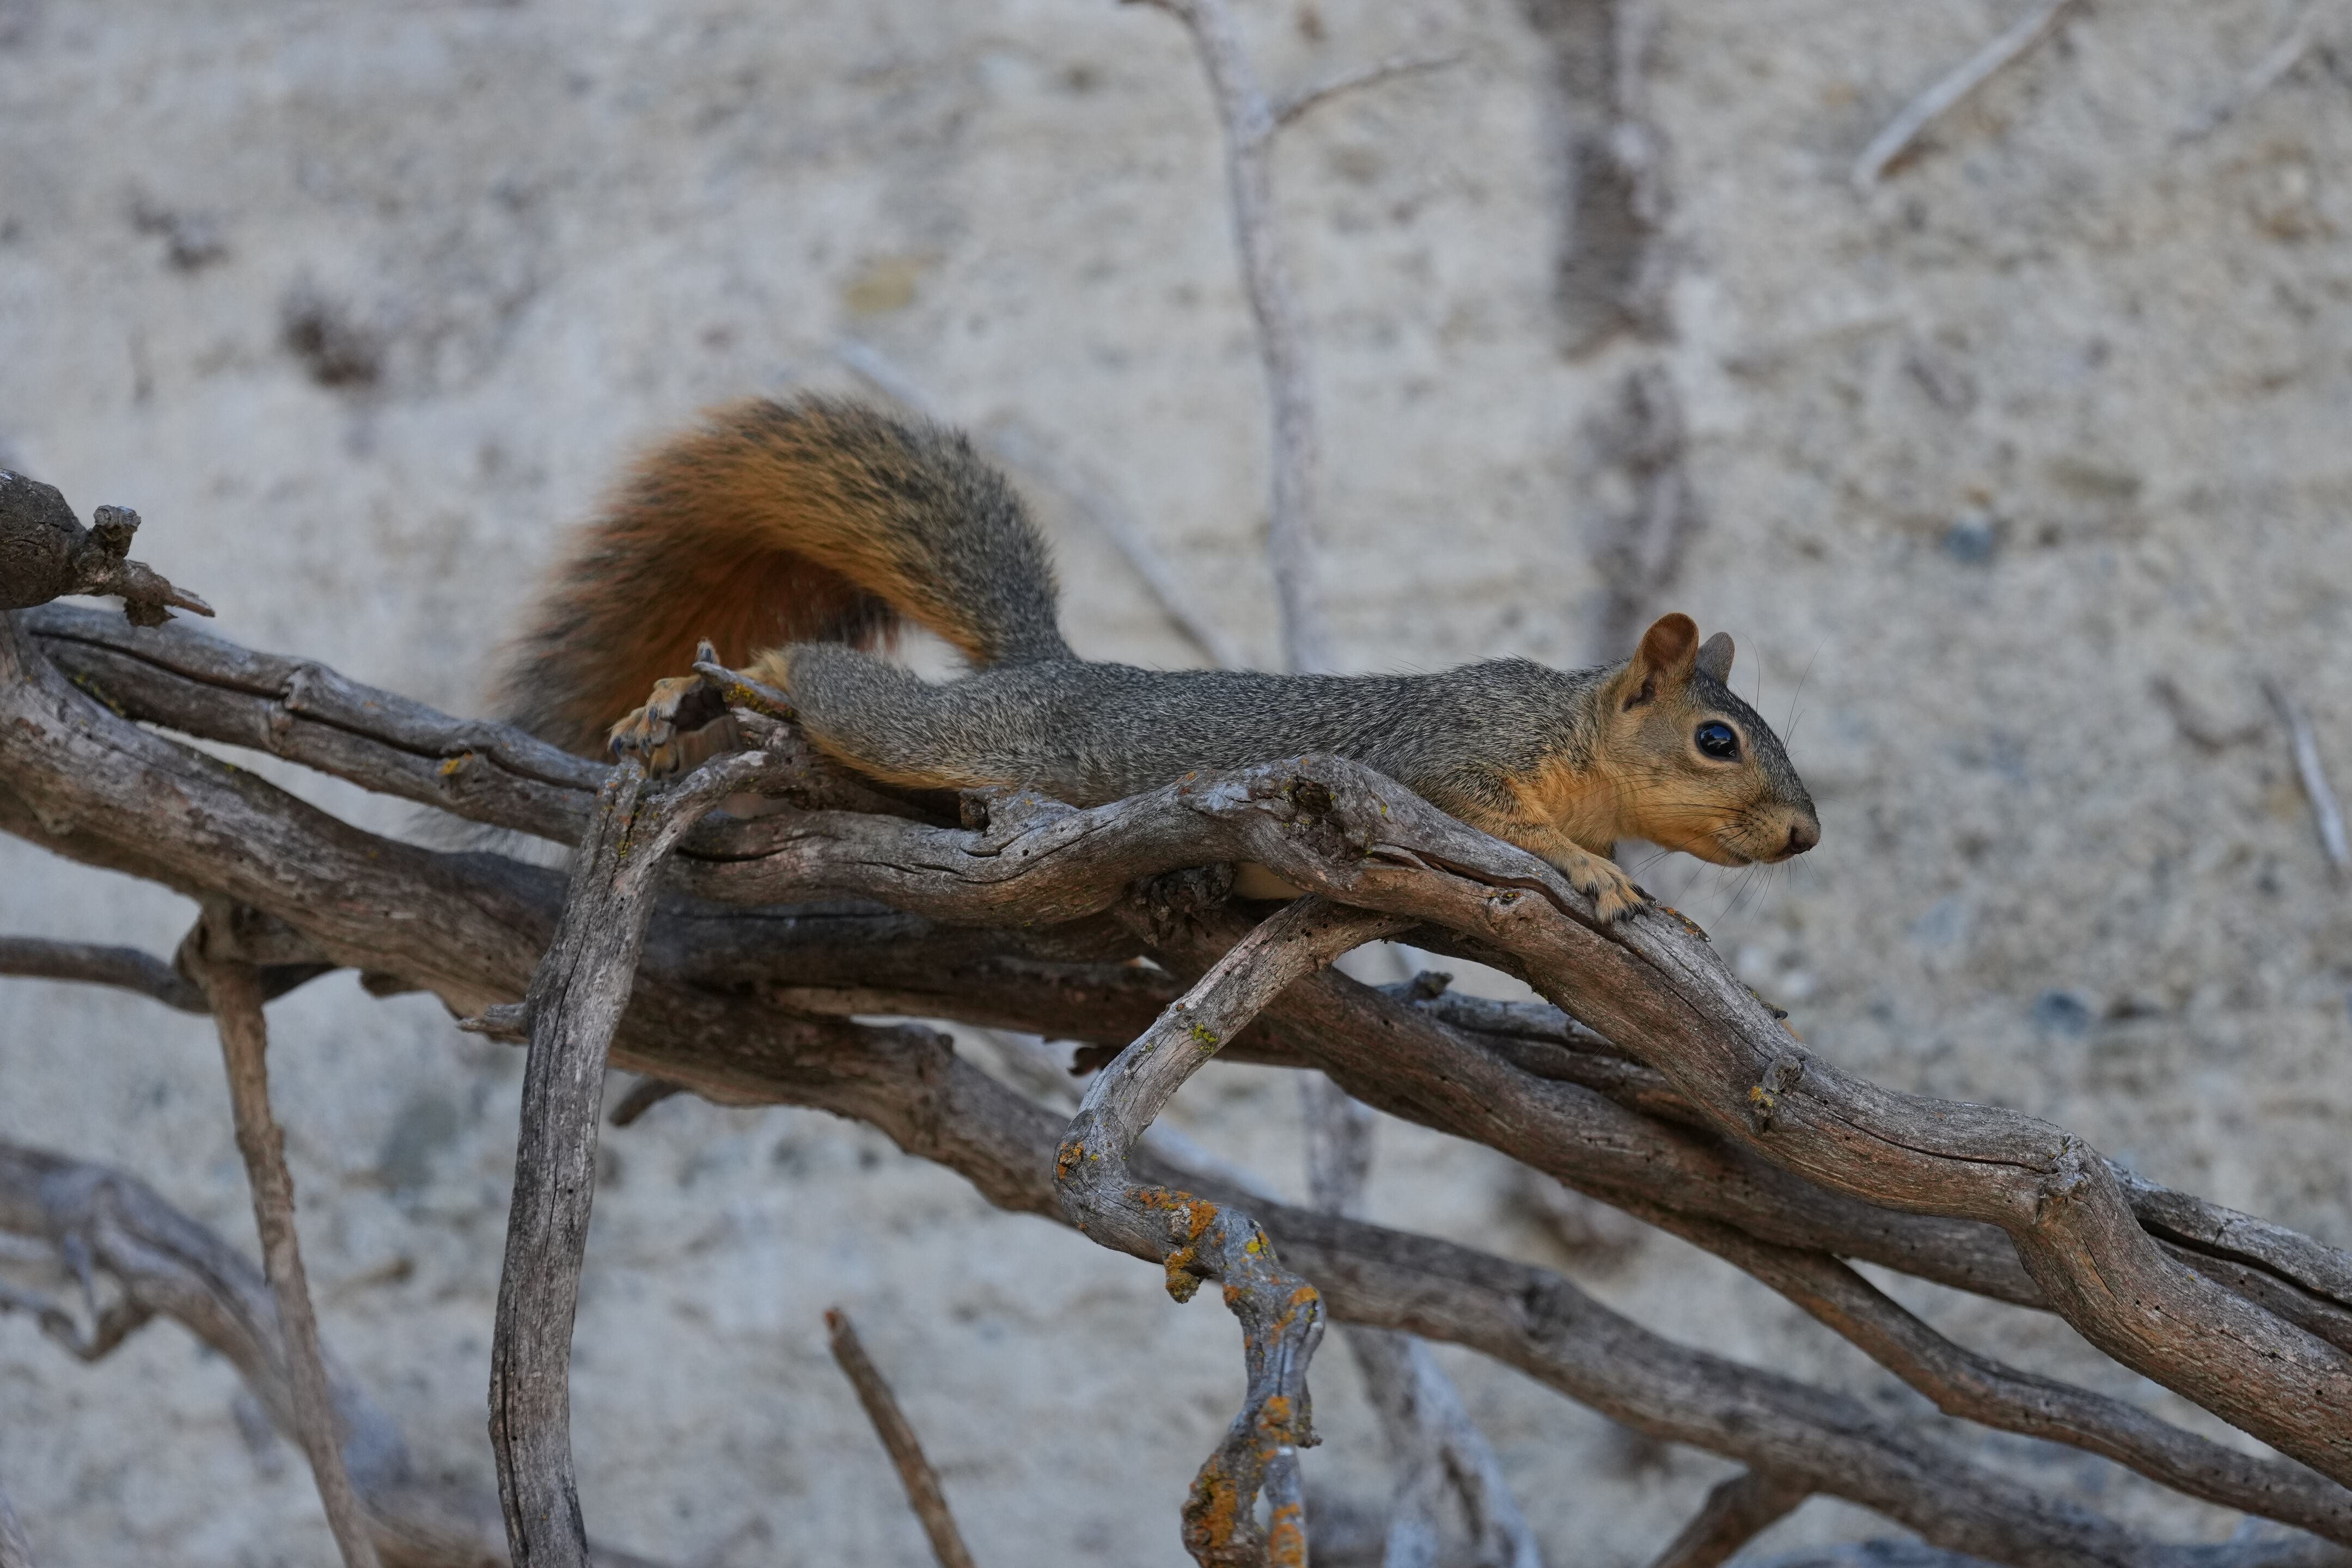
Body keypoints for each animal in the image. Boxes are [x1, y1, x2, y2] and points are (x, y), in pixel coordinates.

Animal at [496, 396, 1819, 921]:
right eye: (1716, 738)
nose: (1805, 837)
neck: (1570, 738)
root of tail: (1044, 664)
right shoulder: (1446, 756)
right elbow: (1501, 820)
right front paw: (1589, 872)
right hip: (951, 736)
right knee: (832, 686)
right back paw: (709, 685)